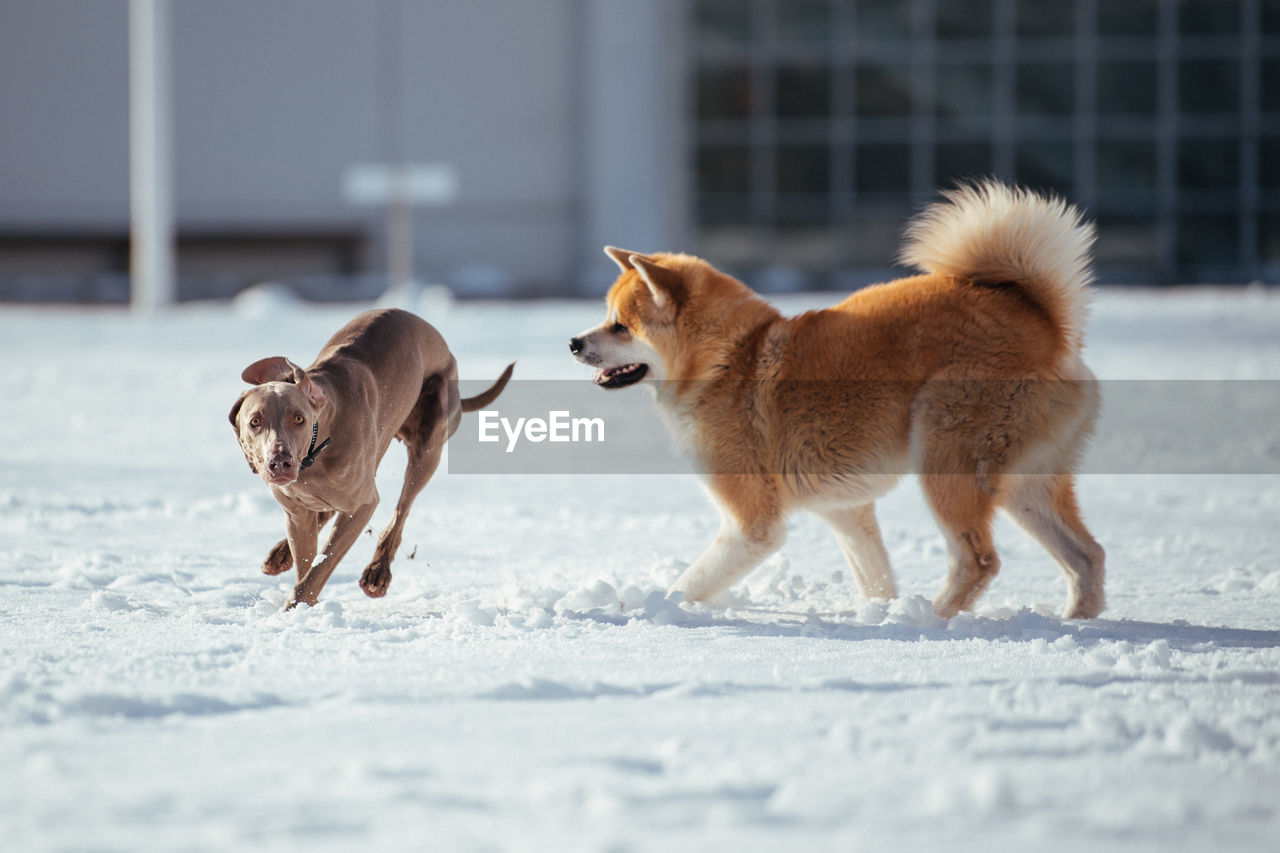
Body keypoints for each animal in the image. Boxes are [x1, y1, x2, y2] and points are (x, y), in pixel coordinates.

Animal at [568, 180, 1100, 617]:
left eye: (620, 326)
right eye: (607, 317)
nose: (573, 342)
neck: (725, 360)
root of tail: (1045, 323)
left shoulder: (753, 523)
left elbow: (690, 582)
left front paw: (641, 609)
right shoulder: (846, 511)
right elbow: (876, 579)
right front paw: (876, 613)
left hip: (947, 461)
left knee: (979, 560)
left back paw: (929, 619)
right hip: (1024, 484)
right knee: (1087, 556)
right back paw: (1077, 622)